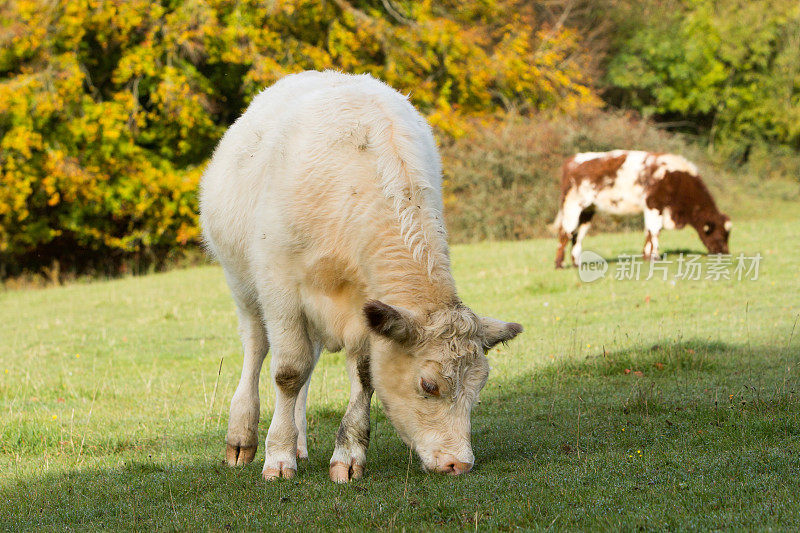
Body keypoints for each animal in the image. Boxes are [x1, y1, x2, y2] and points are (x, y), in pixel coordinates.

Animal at [200, 70, 524, 482]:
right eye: (429, 385)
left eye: (480, 386)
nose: (459, 463)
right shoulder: (280, 288)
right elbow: (288, 371)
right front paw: (279, 457)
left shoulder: (367, 310)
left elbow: (363, 375)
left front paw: (348, 455)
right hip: (243, 285)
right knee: (257, 348)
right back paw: (243, 437)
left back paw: (300, 443)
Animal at [556, 150, 732, 268]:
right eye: (719, 235)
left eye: (727, 235)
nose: (725, 253)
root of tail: (573, 159)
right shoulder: (654, 205)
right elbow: (653, 231)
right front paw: (654, 257)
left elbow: (651, 232)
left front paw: (647, 255)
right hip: (573, 206)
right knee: (566, 233)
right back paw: (559, 264)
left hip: (587, 211)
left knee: (577, 236)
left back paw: (577, 263)